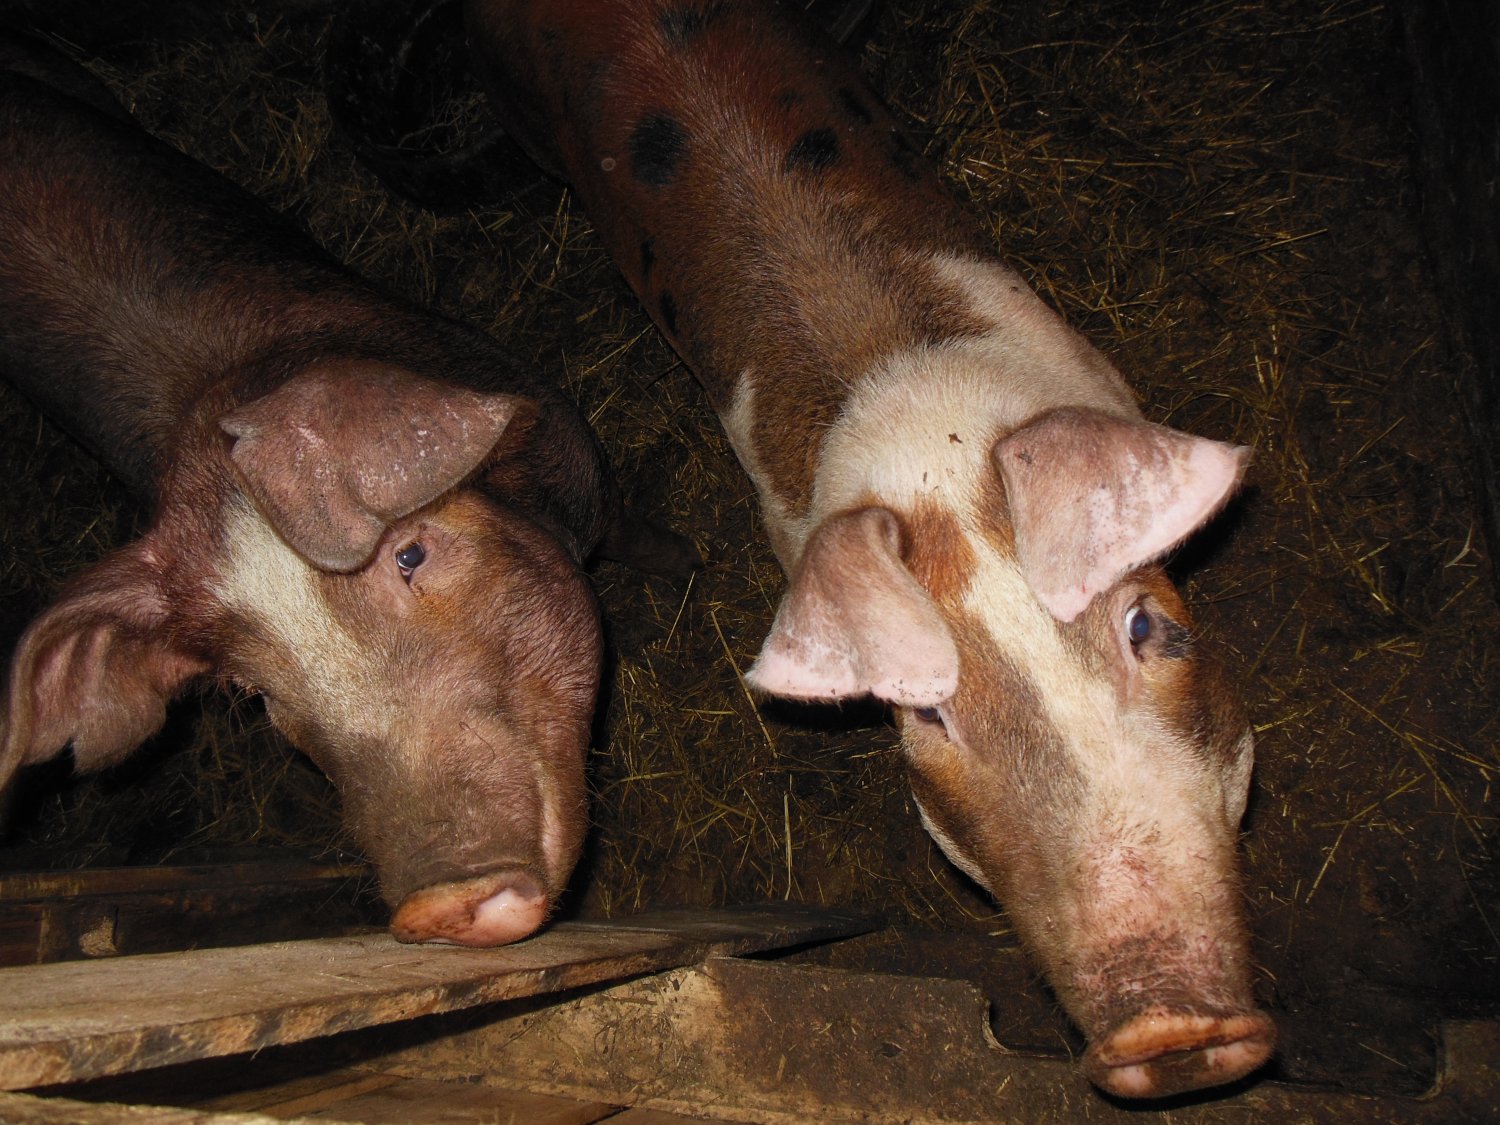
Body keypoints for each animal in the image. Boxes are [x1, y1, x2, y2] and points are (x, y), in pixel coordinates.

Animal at [0, 32, 684, 948]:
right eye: (254, 693)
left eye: (411, 553)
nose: (439, 900)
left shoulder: (585, 460)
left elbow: (643, 535)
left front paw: (694, 561)